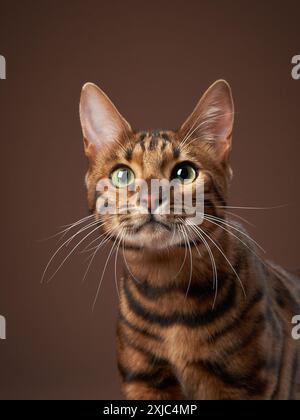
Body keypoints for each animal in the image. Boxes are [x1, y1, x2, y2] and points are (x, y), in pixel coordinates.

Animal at [78, 79, 298, 400]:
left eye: (184, 173)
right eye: (122, 175)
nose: (150, 197)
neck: (169, 293)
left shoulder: (243, 383)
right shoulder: (143, 380)